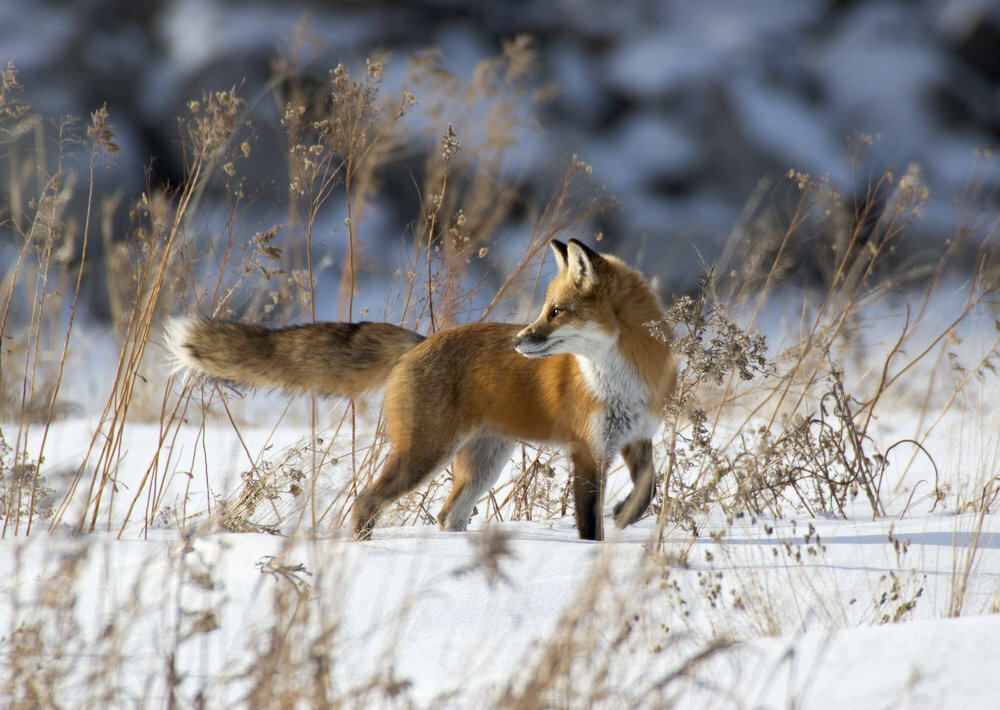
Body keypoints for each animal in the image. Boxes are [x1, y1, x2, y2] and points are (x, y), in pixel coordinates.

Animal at [166, 239, 675, 541]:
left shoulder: (637, 437)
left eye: (557, 311)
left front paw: (625, 514)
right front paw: (595, 551)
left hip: (482, 463)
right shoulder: (587, 449)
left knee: (449, 514)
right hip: (424, 456)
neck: (622, 376)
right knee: (368, 500)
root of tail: (420, 341)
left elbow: (648, 489)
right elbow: (589, 522)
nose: (518, 340)